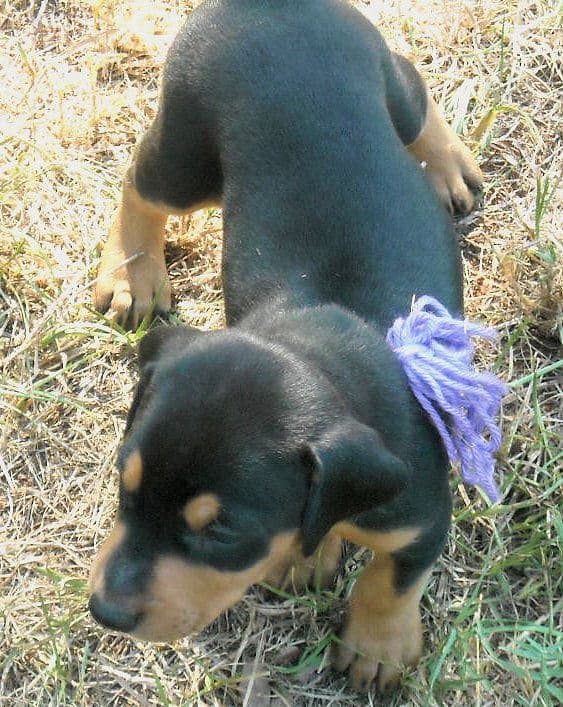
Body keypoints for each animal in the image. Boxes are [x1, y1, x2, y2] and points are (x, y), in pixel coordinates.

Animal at [89, 0, 484, 692]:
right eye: (123, 482)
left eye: (222, 532)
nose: (103, 612)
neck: (327, 345)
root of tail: (273, 6)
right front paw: (311, 556)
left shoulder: (421, 518)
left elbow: (392, 579)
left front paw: (377, 649)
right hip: (188, 150)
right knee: (142, 183)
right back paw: (132, 275)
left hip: (377, 82)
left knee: (414, 92)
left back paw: (450, 167)